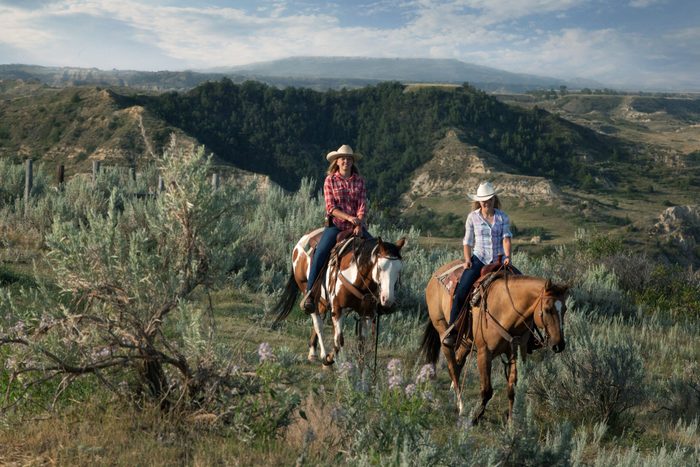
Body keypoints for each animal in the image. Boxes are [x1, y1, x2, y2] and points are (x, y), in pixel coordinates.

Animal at [274, 229, 404, 368]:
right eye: (380, 268)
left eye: (399, 270)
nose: (387, 300)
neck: (357, 277)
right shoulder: (338, 308)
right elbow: (339, 340)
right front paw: (330, 359)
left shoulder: (367, 313)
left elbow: (362, 344)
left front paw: (361, 370)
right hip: (306, 289)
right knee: (317, 322)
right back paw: (321, 354)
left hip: (322, 300)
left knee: (319, 318)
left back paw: (313, 351)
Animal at [418, 262, 568, 426]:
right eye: (547, 310)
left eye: (565, 309)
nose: (559, 345)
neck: (505, 308)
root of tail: (437, 273)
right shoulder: (484, 353)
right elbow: (487, 390)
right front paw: (475, 418)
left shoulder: (516, 351)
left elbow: (512, 388)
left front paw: (511, 422)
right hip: (442, 331)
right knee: (452, 366)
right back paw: (460, 405)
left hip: (466, 341)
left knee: (458, 362)